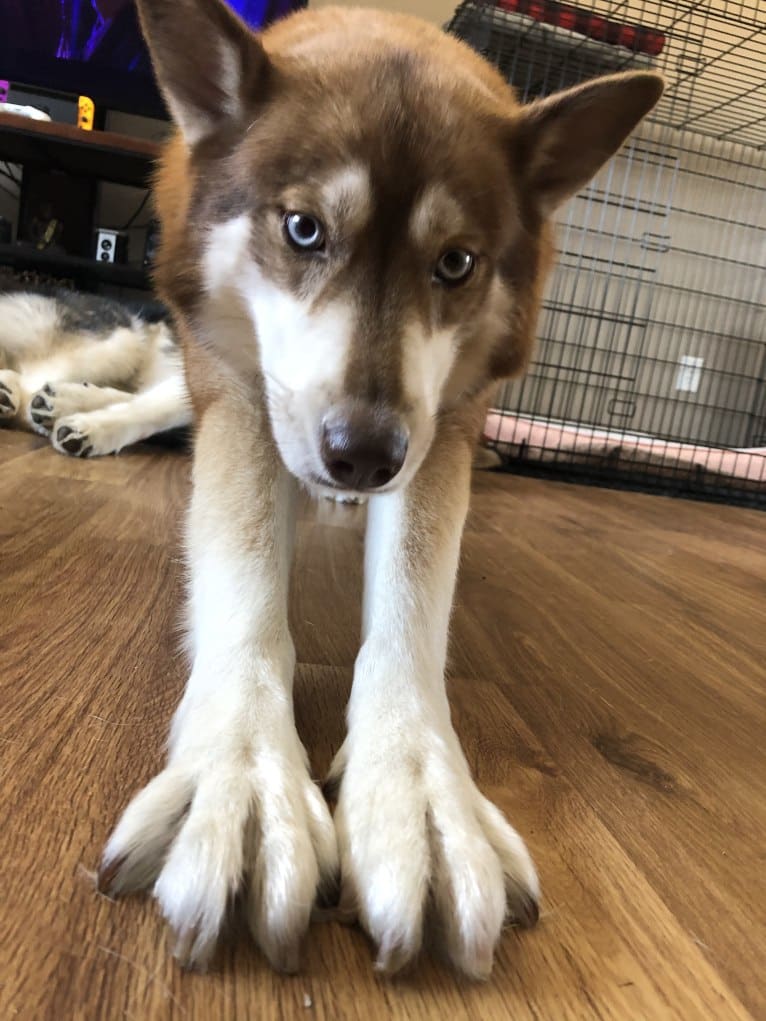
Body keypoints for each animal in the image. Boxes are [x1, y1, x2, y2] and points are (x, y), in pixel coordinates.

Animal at [96, 0, 661, 976]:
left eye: (458, 264)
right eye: (304, 230)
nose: (361, 457)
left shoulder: (442, 418)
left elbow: (410, 609)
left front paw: (417, 796)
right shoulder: (242, 383)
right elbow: (246, 578)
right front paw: (244, 776)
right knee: (167, 392)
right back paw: (80, 413)